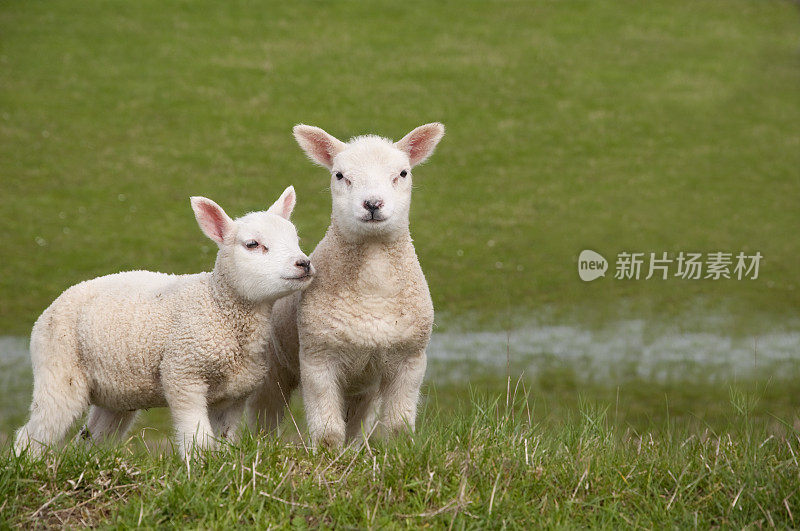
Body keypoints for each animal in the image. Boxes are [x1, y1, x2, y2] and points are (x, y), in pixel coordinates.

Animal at [14, 188, 316, 462]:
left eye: (295, 239)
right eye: (253, 244)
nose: (304, 263)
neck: (218, 306)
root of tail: (51, 308)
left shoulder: (235, 394)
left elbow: (226, 439)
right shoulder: (183, 374)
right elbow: (197, 437)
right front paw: (199, 467)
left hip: (117, 393)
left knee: (91, 437)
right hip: (58, 371)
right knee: (33, 434)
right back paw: (26, 465)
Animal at [247, 123, 446, 448]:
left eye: (402, 173)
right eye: (340, 175)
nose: (373, 204)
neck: (373, 291)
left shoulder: (410, 359)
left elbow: (398, 427)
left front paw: (398, 452)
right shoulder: (318, 358)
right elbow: (328, 431)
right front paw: (327, 455)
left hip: (363, 385)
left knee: (356, 423)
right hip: (273, 368)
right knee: (265, 415)